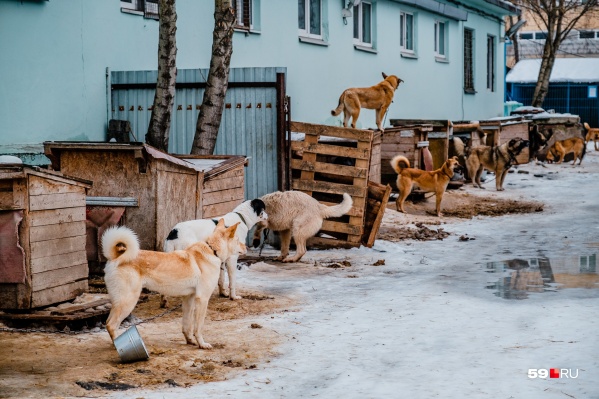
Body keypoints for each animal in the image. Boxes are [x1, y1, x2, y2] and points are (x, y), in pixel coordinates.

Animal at [102, 220, 245, 348]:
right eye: (238, 240)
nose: (246, 247)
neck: (212, 250)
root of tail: (115, 258)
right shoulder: (202, 299)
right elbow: (198, 327)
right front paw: (202, 344)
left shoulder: (189, 299)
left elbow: (187, 325)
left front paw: (190, 341)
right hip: (128, 301)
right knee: (111, 325)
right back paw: (119, 345)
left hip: (119, 301)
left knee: (108, 322)